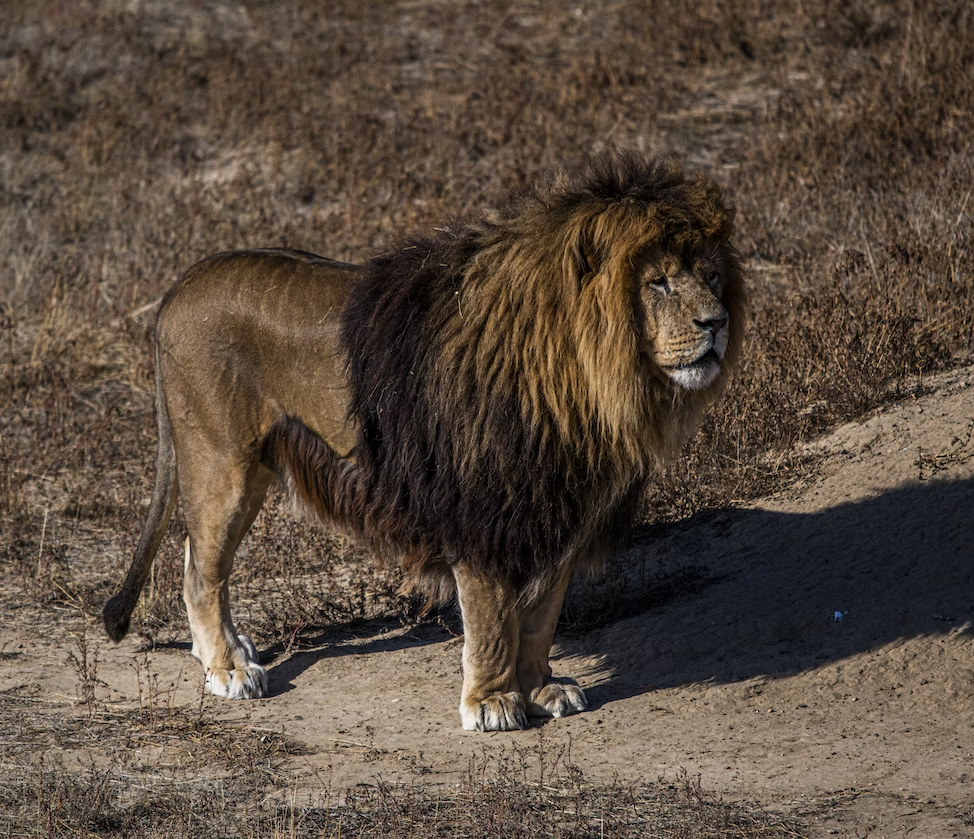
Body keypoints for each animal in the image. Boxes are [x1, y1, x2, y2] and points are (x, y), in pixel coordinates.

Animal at [103, 151, 748, 728]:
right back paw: (228, 670)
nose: (716, 323)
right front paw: (492, 703)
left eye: (712, 277)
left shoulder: (559, 508)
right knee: (200, 572)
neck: (583, 386)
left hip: (251, 468)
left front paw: (541, 687)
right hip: (222, 462)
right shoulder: (484, 510)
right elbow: (492, 622)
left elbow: (542, 616)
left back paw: (232, 651)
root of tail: (180, 285)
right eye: (658, 283)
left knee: (199, 557)